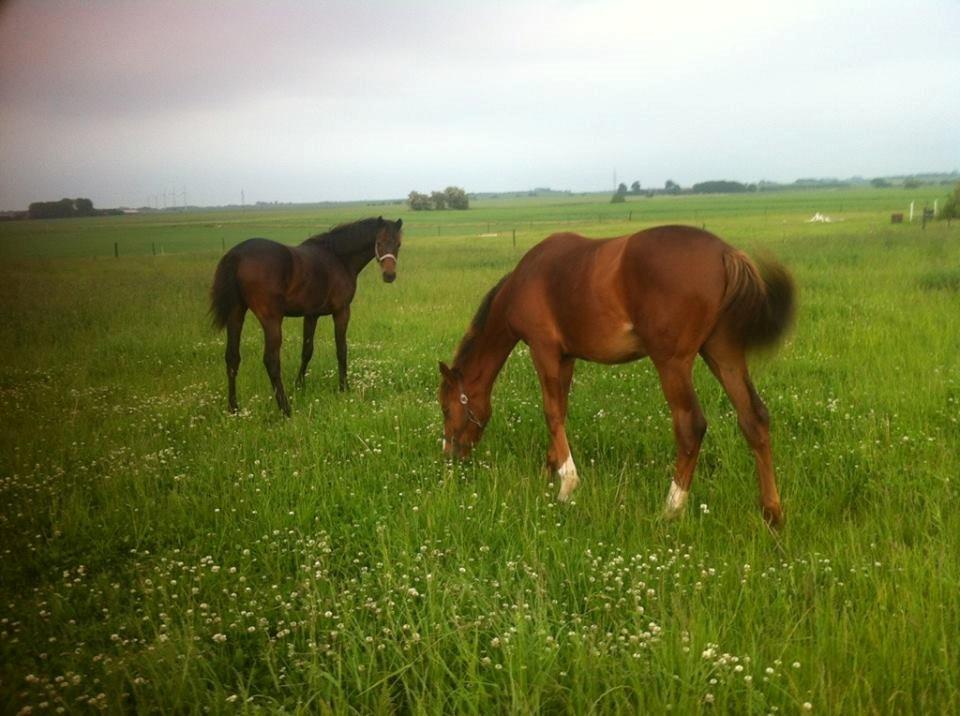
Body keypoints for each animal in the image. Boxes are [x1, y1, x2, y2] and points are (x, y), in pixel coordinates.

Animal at [210, 215, 402, 414]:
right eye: (379, 242)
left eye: (398, 244)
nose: (389, 275)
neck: (338, 258)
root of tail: (237, 255)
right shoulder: (341, 311)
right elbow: (341, 350)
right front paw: (344, 388)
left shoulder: (311, 315)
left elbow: (307, 351)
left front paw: (299, 385)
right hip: (271, 320)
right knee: (271, 361)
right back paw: (285, 409)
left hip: (236, 313)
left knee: (232, 357)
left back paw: (233, 407)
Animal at [442, 227, 796, 528]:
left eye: (446, 409)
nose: (451, 456)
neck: (524, 279)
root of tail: (725, 253)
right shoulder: (566, 358)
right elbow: (560, 412)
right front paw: (551, 470)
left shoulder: (544, 351)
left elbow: (551, 412)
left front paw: (566, 484)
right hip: (723, 353)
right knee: (754, 418)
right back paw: (772, 513)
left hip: (673, 363)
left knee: (691, 426)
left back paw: (670, 510)